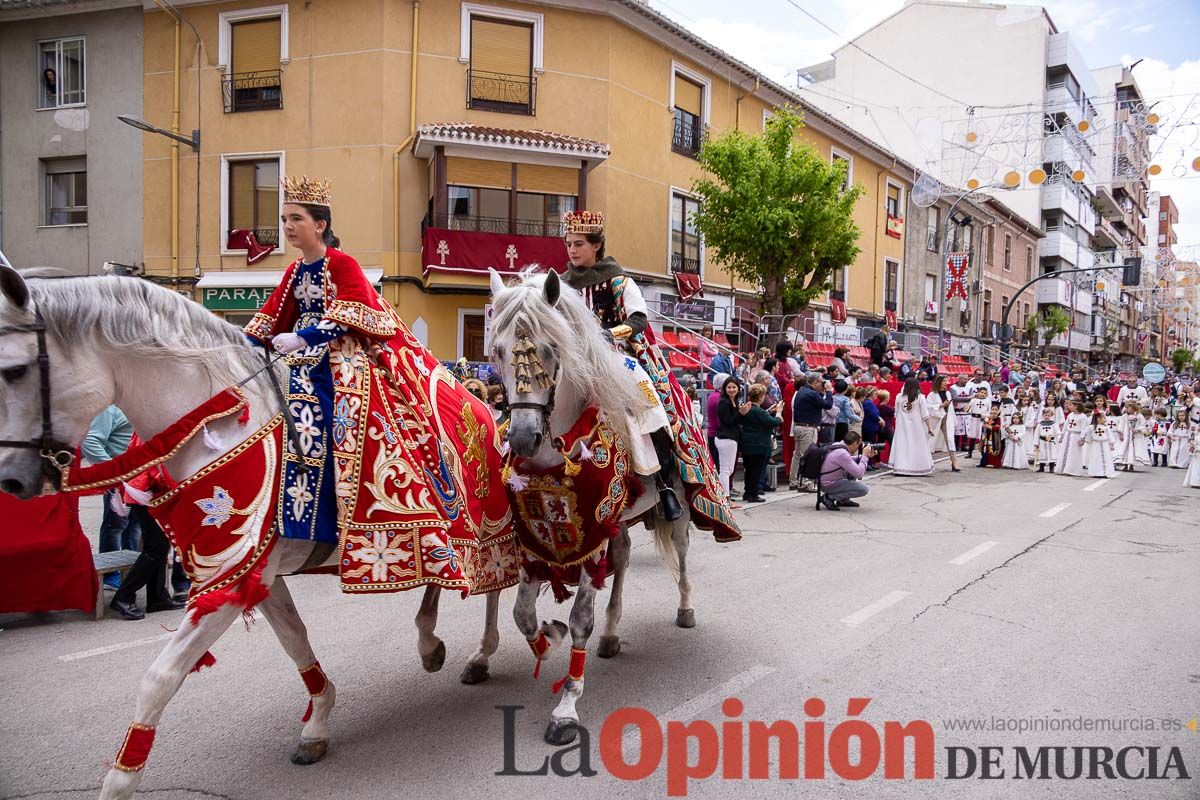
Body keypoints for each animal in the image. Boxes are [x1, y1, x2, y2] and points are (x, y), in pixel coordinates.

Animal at [0, 266, 501, 796]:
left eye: (14, 370)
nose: (11, 480)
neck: (215, 423)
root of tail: (482, 407)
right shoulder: (254, 571)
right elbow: (294, 639)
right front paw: (318, 720)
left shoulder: (229, 577)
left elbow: (160, 677)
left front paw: (119, 782)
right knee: (439, 582)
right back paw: (431, 644)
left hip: (485, 528)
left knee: (493, 582)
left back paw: (479, 654)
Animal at [484, 268, 696, 743]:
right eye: (499, 351)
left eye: (550, 349)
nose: (522, 438)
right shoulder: (536, 538)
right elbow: (523, 614)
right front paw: (549, 636)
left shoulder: (593, 532)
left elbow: (581, 618)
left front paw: (566, 708)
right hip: (621, 523)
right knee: (624, 560)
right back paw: (613, 633)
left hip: (676, 507)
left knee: (681, 553)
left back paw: (686, 609)